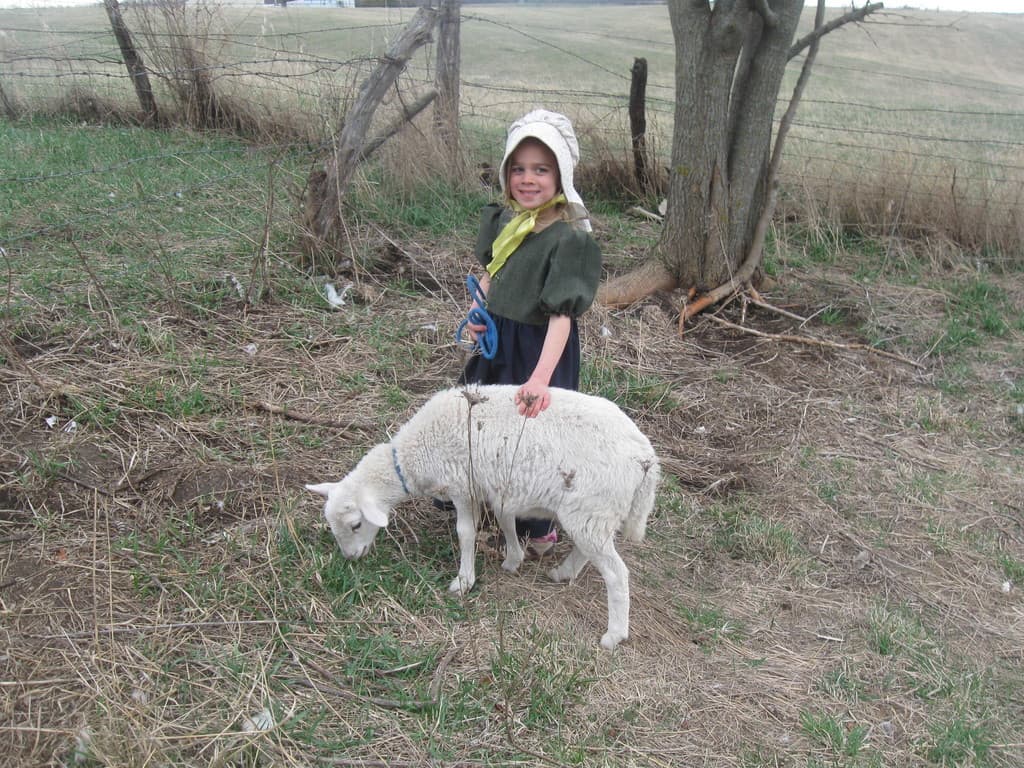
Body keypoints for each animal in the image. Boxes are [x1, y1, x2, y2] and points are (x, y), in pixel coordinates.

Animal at [306, 384, 660, 650]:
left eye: (356, 524)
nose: (350, 557)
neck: (415, 454)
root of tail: (647, 459)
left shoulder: (463, 485)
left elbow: (465, 533)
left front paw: (464, 580)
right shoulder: (496, 486)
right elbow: (505, 519)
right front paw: (513, 559)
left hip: (592, 507)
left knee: (616, 574)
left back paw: (614, 634)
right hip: (593, 511)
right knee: (588, 550)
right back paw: (563, 573)